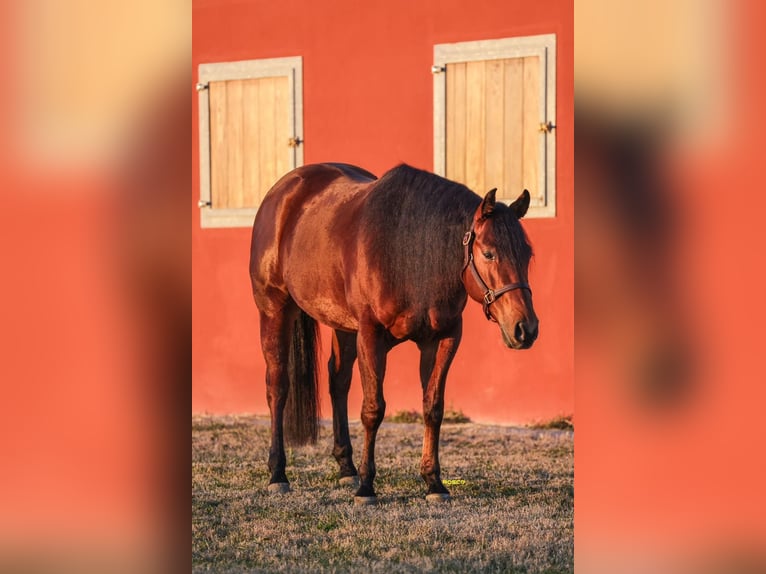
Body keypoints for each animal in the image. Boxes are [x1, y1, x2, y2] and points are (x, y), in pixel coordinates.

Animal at [249, 163, 538, 504]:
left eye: (527, 254)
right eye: (490, 253)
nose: (526, 328)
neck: (408, 257)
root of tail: (283, 191)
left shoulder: (443, 339)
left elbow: (433, 408)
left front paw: (433, 483)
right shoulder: (371, 336)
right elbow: (373, 409)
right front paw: (366, 487)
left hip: (343, 326)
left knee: (338, 381)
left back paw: (346, 468)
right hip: (274, 310)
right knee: (277, 387)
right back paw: (278, 473)